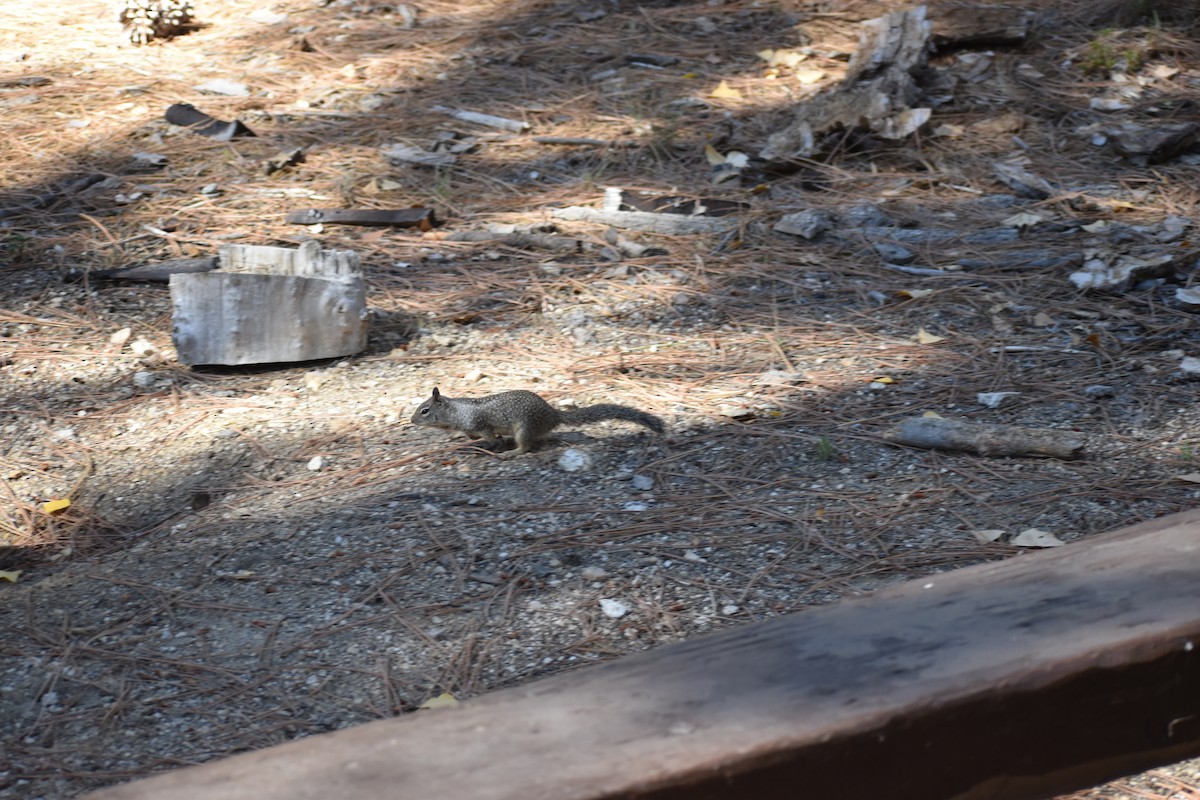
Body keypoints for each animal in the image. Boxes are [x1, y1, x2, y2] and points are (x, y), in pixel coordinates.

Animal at [410, 387, 664, 454]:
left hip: (524, 428)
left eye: (424, 411)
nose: (412, 421)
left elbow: (490, 438)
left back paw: (511, 452)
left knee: (526, 447)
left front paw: (486, 445)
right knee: (541, 441)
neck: (456, 412)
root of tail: (553, 413)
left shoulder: (482, 426)